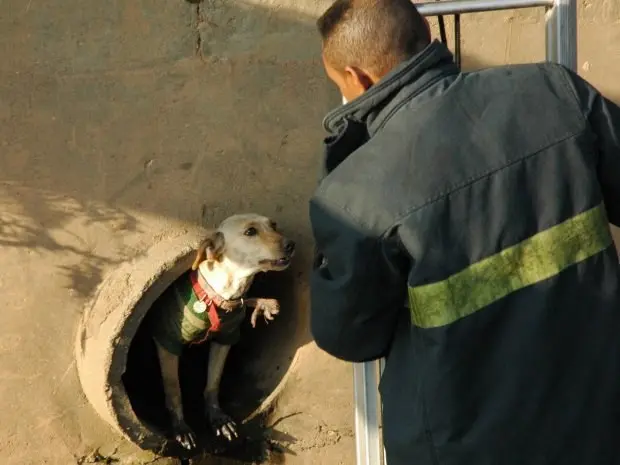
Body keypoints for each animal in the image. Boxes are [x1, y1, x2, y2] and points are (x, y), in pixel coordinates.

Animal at [149, 213, 296, 450]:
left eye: (273, 225)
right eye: (250, 232)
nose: (291, 244)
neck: (220, 297)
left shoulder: (225, 340)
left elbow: (213, 383)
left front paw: (218, 419)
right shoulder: (167, 342)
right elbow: (173, 389)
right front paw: (180, 428)